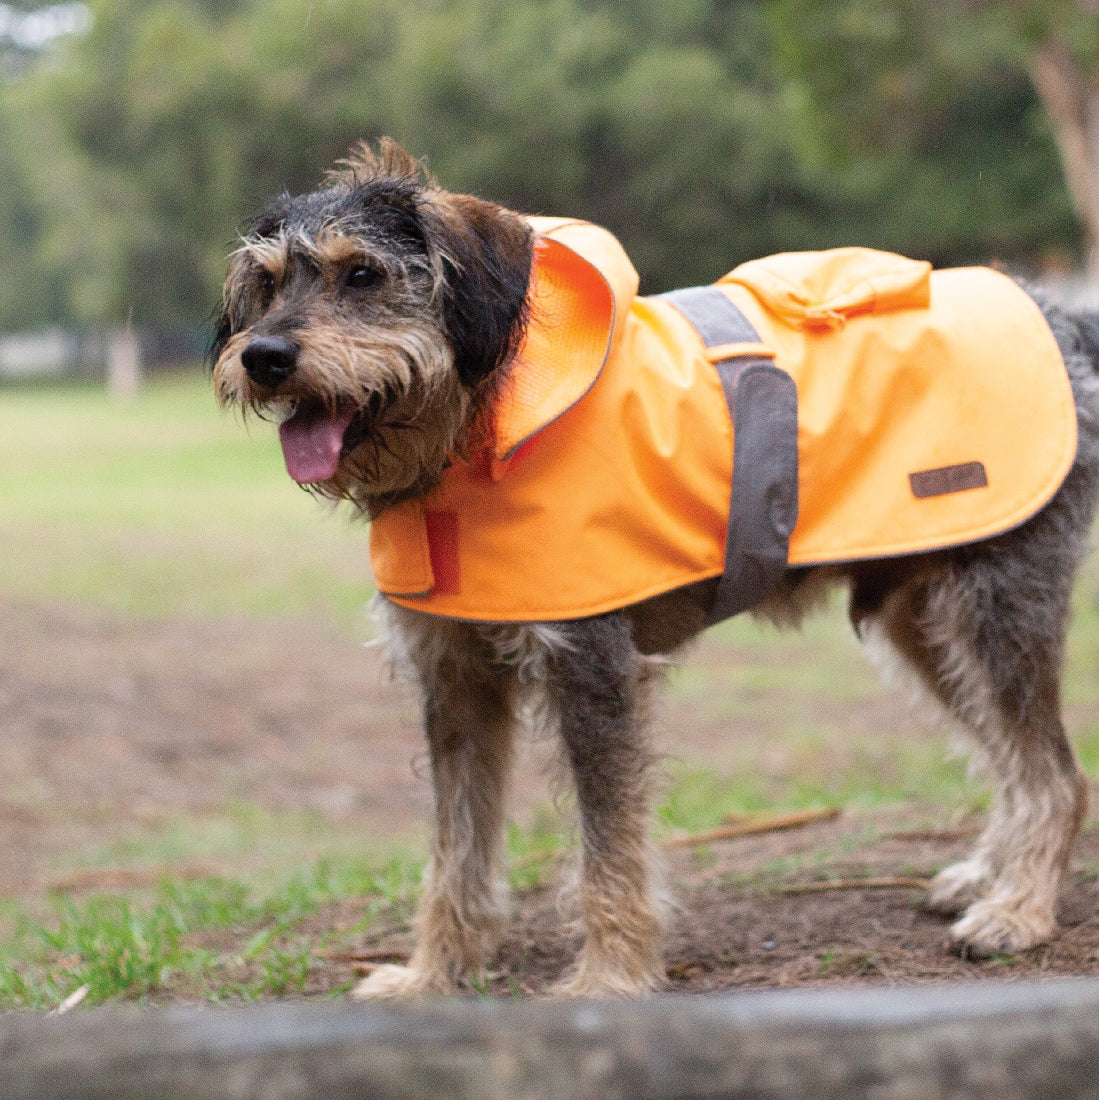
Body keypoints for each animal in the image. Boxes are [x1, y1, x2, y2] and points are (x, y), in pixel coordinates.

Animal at [210, 137, 1099, 998]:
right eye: (266, 283)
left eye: (362, 273)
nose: (263, 356)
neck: (478, 427)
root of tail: (1060, 317)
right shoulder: (454, 678)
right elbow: (455, 848)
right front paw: (436, 975)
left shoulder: (590, 668)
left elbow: (608, 849)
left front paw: (607, 979)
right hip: (919, 624)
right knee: (1011, 759)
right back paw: (990, 877)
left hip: (994, 611)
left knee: (1054, 774)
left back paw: (1017, 912)